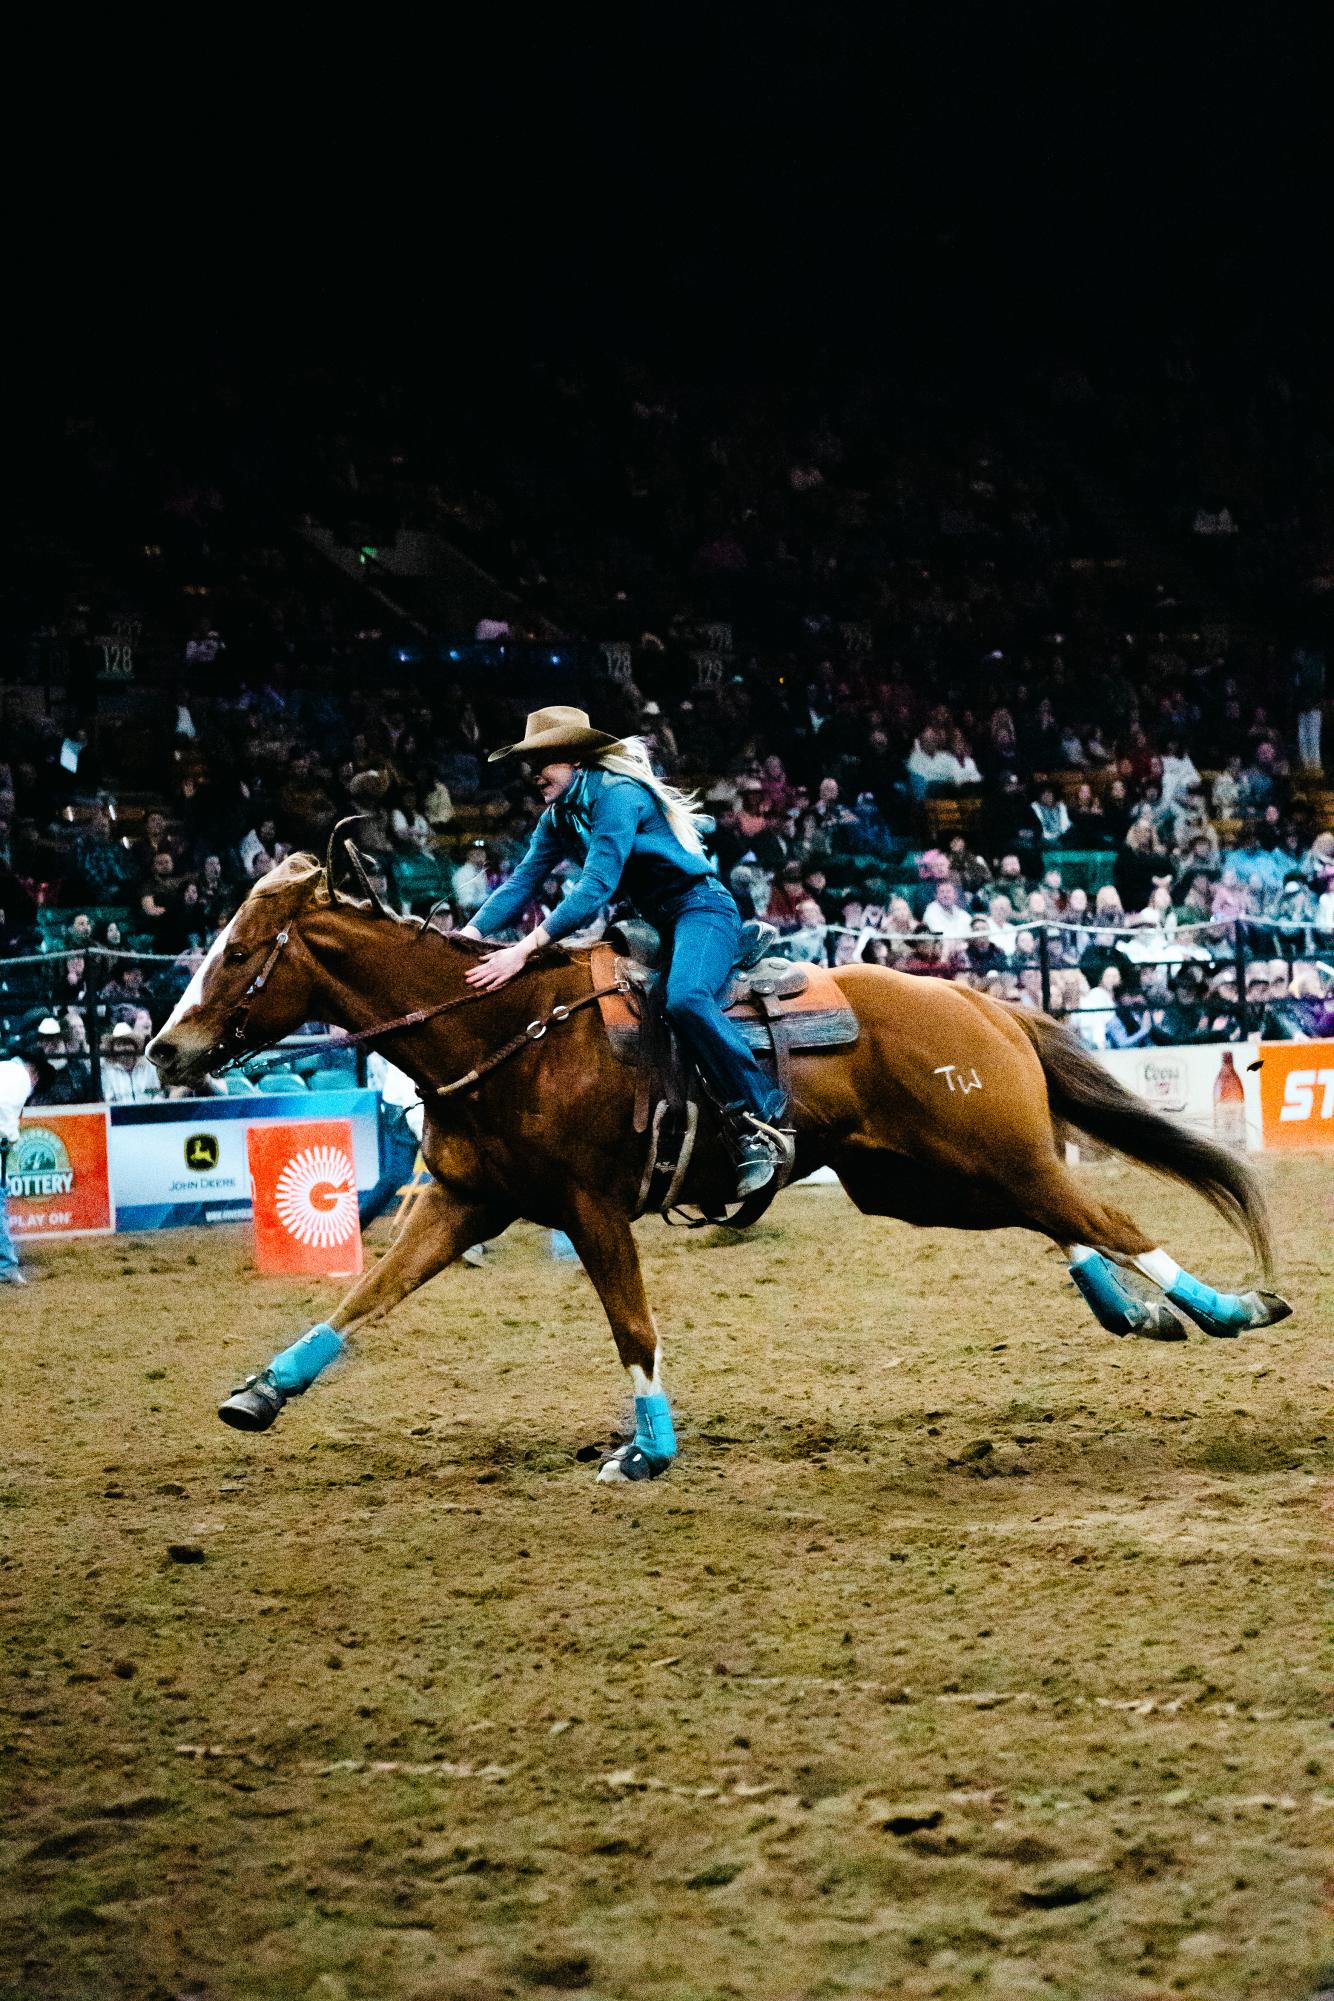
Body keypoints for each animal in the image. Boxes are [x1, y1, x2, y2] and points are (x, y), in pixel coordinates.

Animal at [149, 852, 1296, 1480]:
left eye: (241, 952)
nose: (164, 1049)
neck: (510, 1029)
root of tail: (970, 997)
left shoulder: (589, 1208)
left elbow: (631, 1326)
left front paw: (646, 1451)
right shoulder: (463, 1202)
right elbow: (363, 1297)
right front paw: (259, 1393)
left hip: (985, 1154)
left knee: (1106, 1217)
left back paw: (1230, 1306)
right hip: (920, 1182)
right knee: (1067, 1223)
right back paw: (1135, 1310)